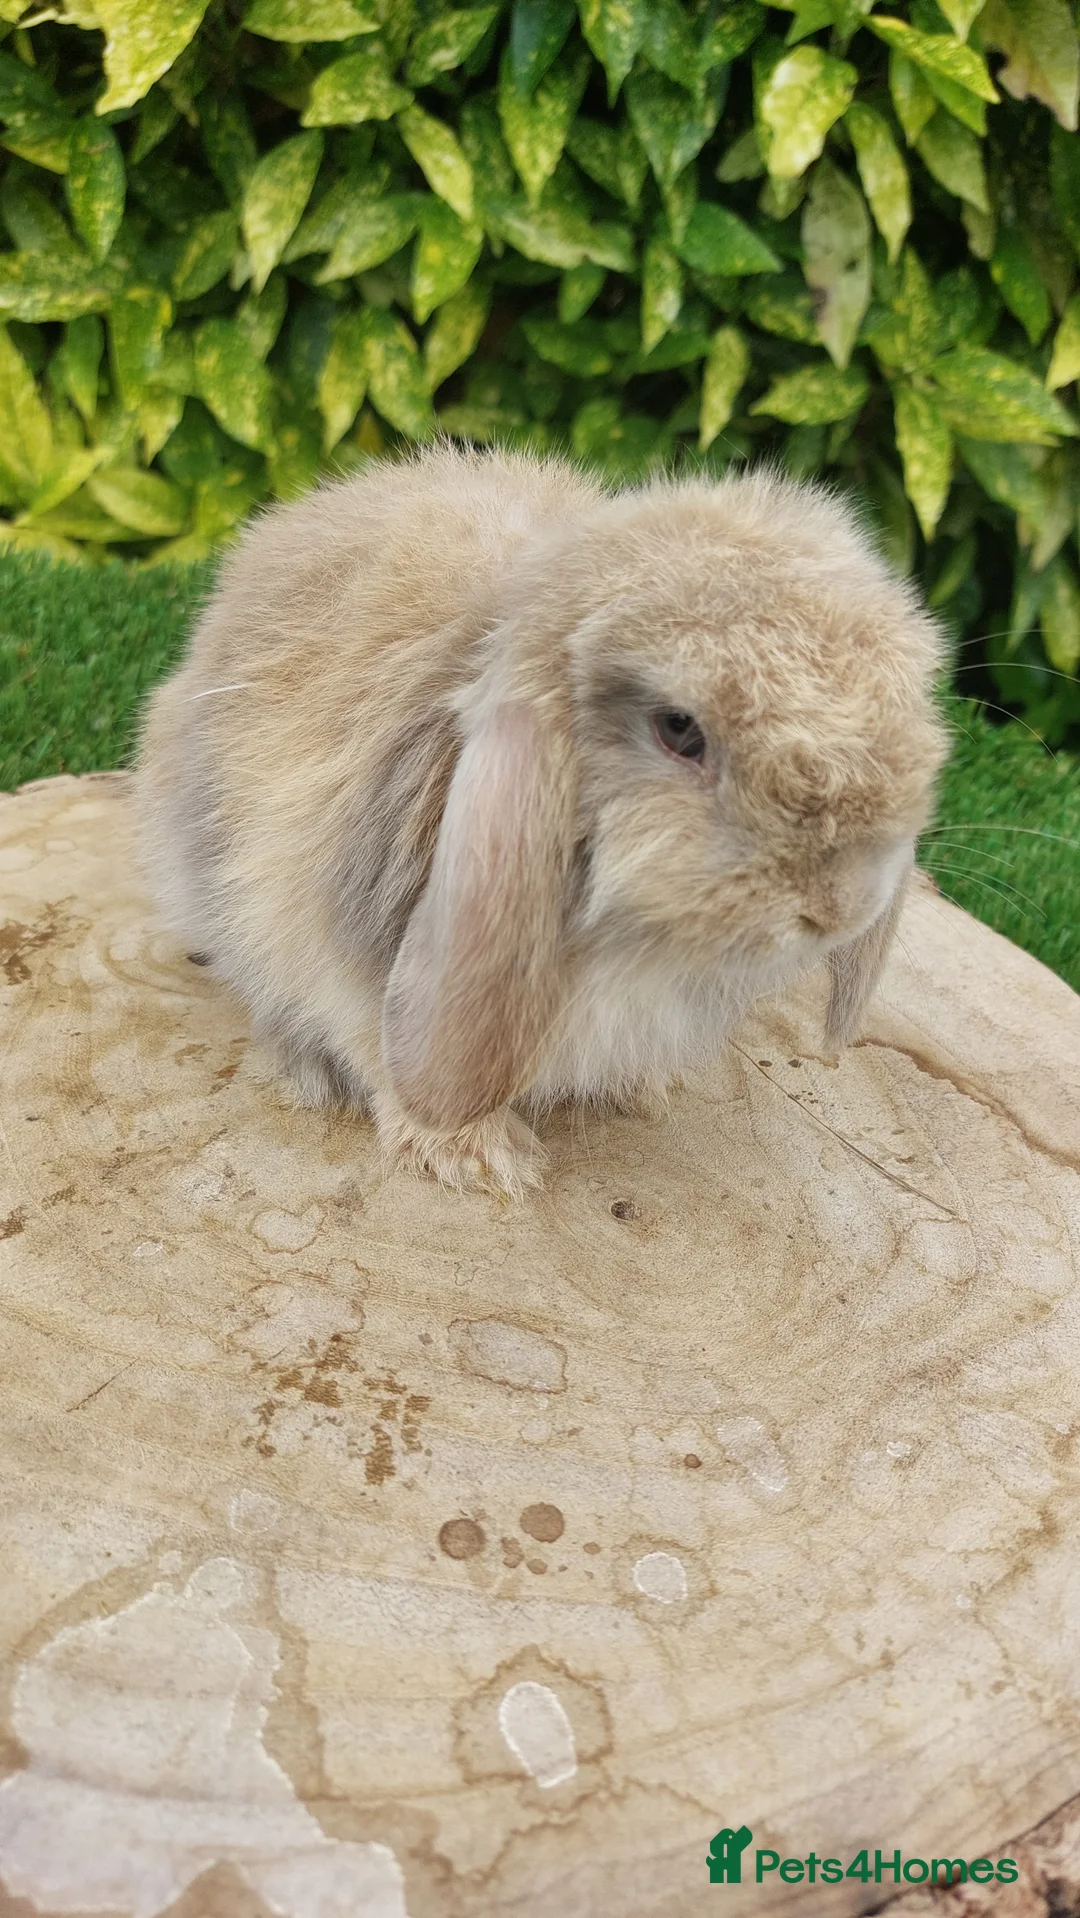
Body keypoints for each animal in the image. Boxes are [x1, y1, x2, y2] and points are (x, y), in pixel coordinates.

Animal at [132, 440, 950, 1198]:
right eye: (680, 730)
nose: (839, 908)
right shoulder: (343, 952)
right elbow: (375, 1044)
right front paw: (479, 1160)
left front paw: (641, 1088)